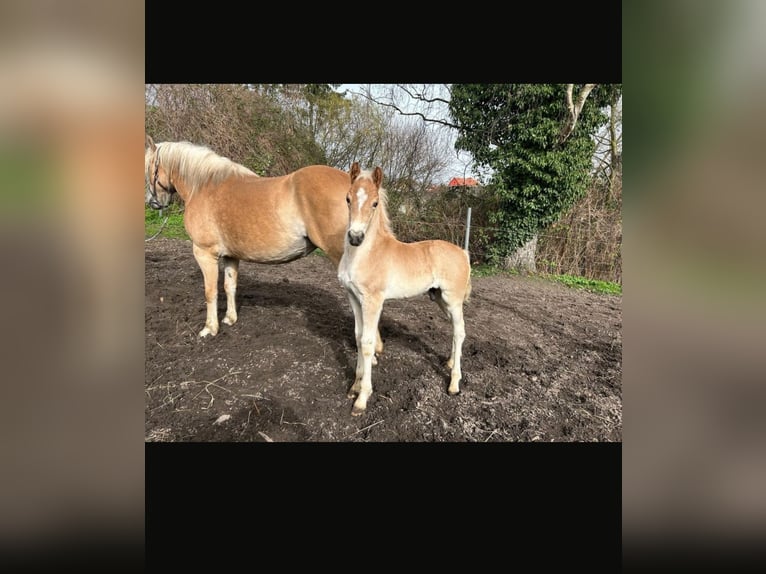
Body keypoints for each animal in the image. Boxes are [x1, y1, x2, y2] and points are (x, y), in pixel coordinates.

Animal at [143, 137, 384, 352]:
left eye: (149, 169)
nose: (152, 203)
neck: (204, 186)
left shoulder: (204, 253)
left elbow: (210, 291)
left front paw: (210, 329)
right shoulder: (231, 256)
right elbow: (229, 286)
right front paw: (230, 319)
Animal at [342, 162, 474, 418]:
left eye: (375, 203)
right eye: (348, 198)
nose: (355, 237)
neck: (365, 254)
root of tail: (463, 253)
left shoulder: (373, 301)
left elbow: (368, 343)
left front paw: (362, 399)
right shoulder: (354, 297)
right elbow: (358, 337)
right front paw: (354, 386)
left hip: (453, 300)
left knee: (461, 332)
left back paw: (454, 383)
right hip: (440, 299)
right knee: (455, 331)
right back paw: (449, 363)